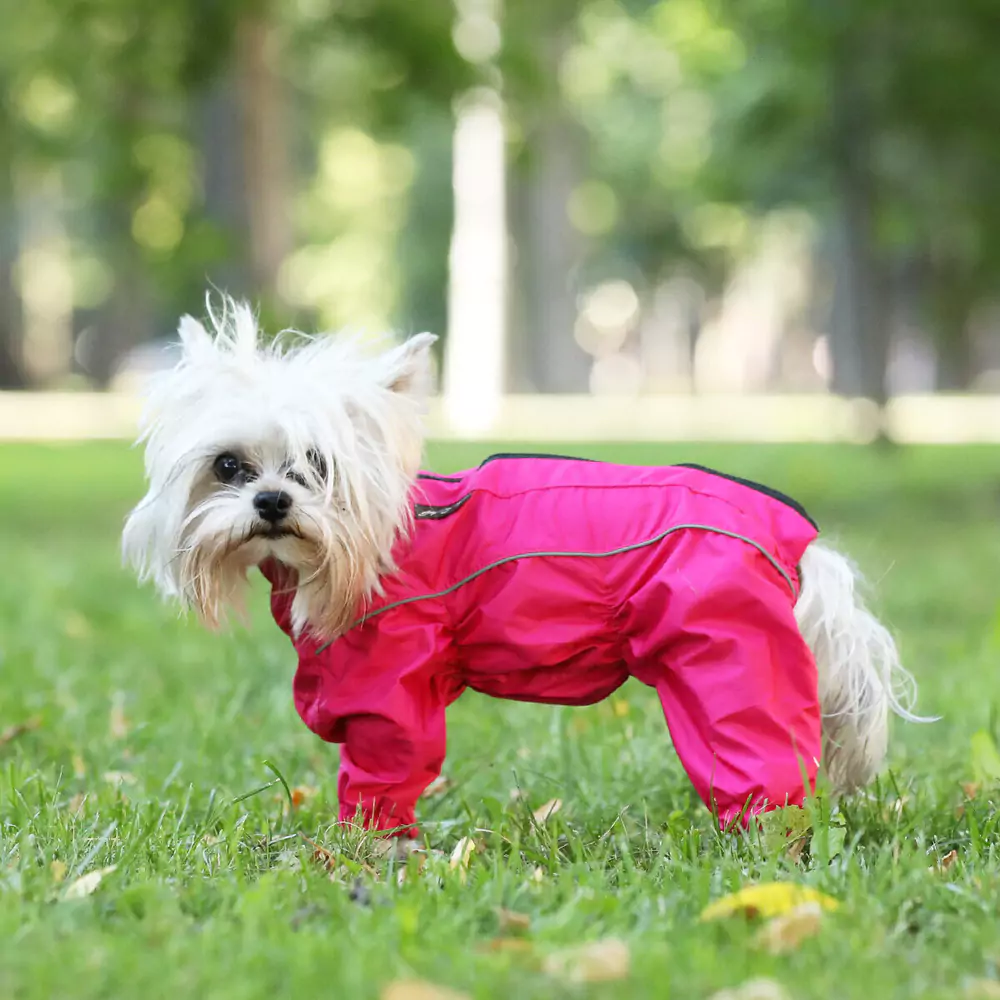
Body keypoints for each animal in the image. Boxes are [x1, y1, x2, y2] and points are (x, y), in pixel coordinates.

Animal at [127, 296, 928, 836]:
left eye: (317, 467)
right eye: (229, 467)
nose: (270, 500)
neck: (374, 545)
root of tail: (794, 538)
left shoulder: (391, 688)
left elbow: (383, 774)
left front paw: (368, 851)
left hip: (730, 665)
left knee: (764, 770)